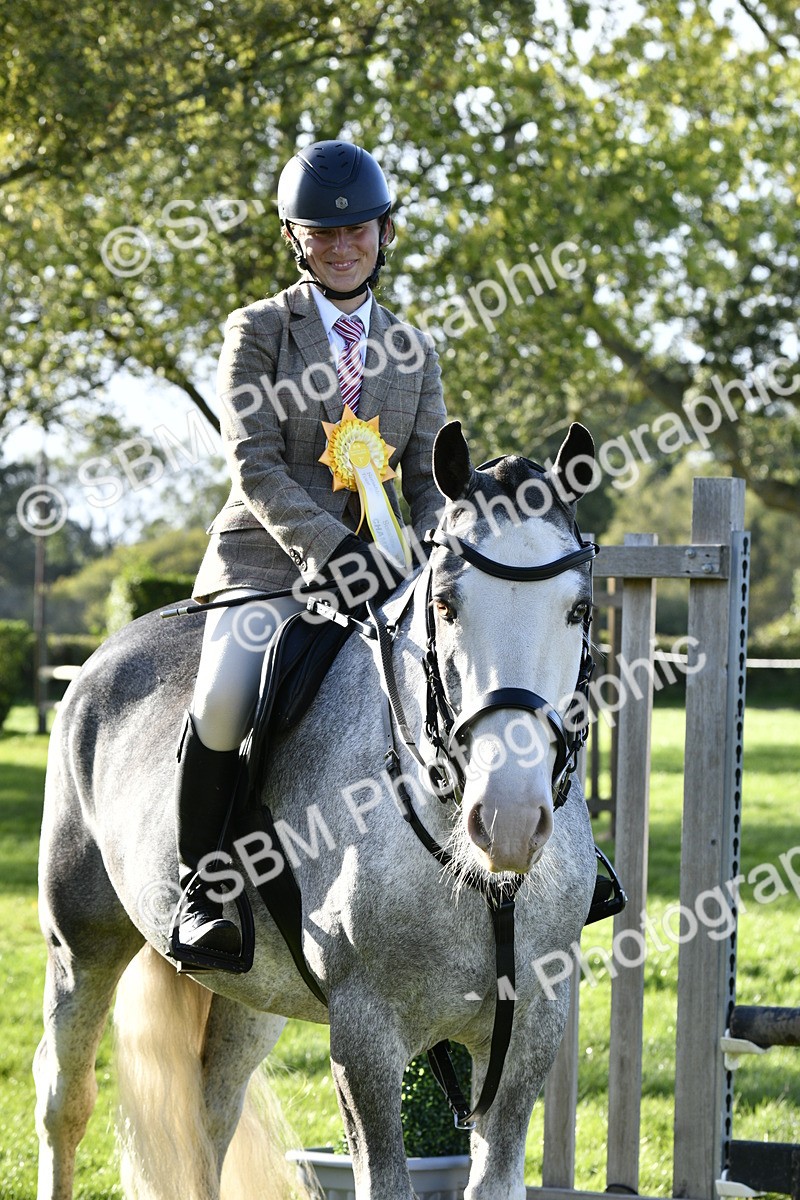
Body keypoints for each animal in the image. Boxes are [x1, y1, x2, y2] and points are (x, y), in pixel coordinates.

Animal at [34, 419, 599, 1200]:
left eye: (578, 610)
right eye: (446, 606)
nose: (509, 821)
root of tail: (105, 653)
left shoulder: (530, 1033)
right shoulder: (364, 1036)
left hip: (249, 995)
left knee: (211, 1111)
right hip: (81, 944)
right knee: (66, 1098)